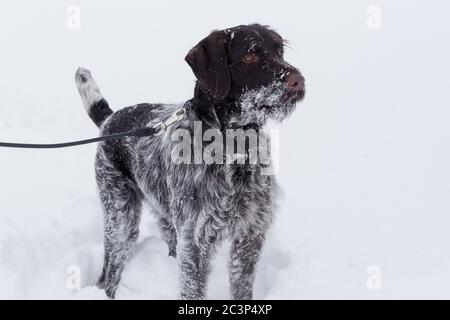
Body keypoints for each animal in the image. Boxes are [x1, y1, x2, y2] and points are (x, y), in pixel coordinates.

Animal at [75, 23, 306, 298]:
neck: (235, 149)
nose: (299, 80)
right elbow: (192, 289)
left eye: (279, 50)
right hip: (121, 219)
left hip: (163, 211)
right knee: (108, 274)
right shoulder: (196, 241)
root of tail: (110, 120)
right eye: (251, 54)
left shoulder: (250, 232)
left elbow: (241, 286)